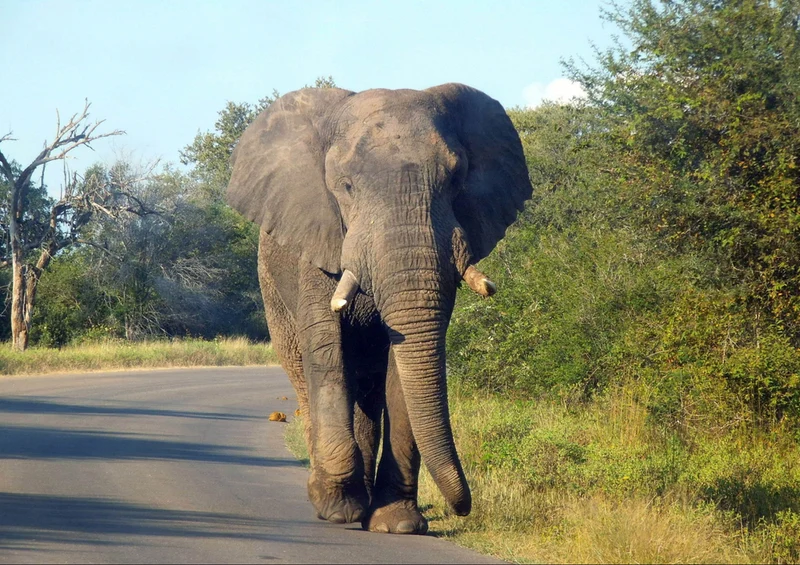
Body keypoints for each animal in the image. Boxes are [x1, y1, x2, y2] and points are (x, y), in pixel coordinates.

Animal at [226, 83, 531, 534]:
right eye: (346, 186)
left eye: (456, 179)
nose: (463, 508)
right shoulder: (319, 242)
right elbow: (328, 351)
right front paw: (338, 508)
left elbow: (402, 369)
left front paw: (398, 524)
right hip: (273, 297)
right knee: (308, 374)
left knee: (368, 393)